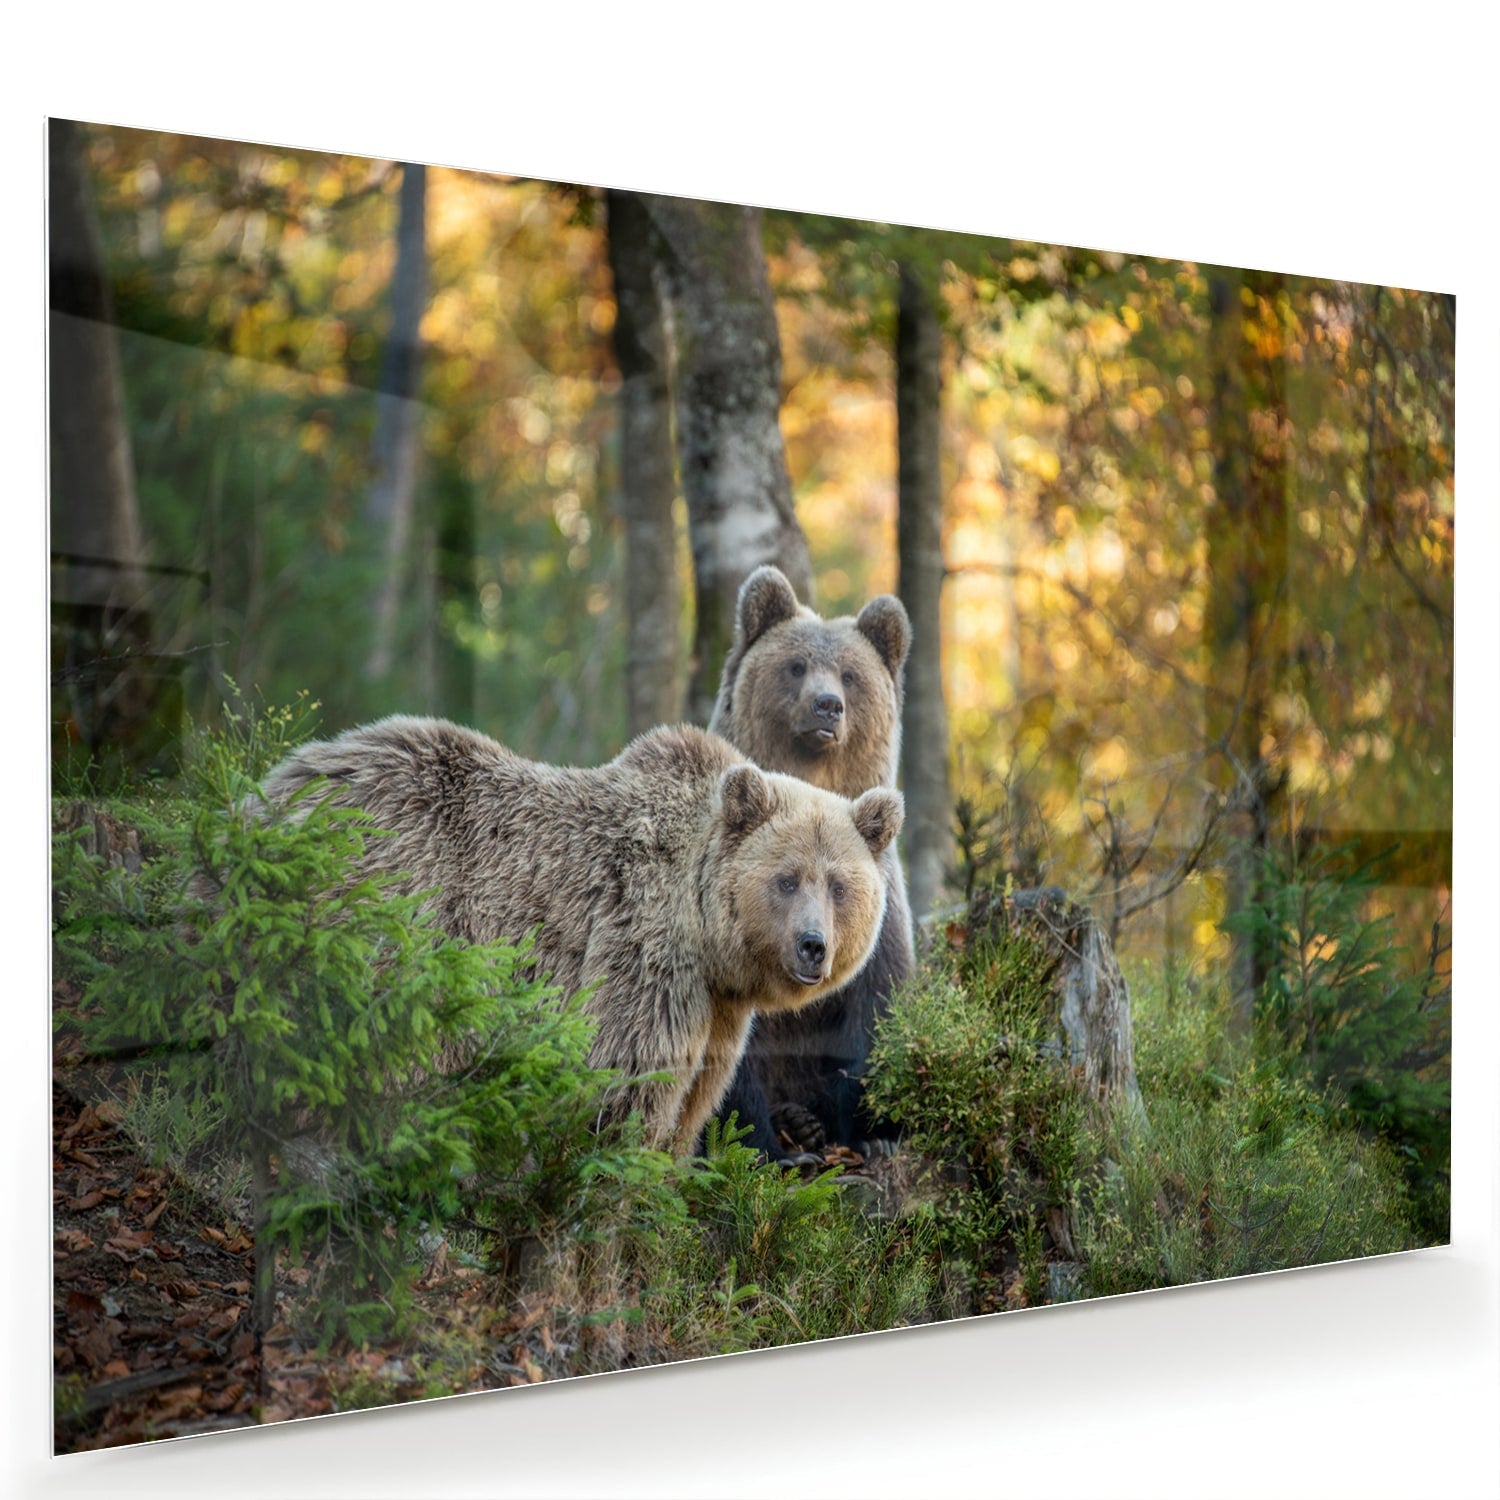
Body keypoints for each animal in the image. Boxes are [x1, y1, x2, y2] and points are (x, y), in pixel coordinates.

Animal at [261, 716, 903, 1155]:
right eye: (786, 879)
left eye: (839, 886)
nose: (813, 945)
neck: (707, 934)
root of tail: (276, 789)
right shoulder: (642, 944)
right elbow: (628, 1077)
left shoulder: (718, 1006)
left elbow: (698, 1092)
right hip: (392, 908)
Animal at [707, 565, 915, 1160]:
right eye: (796, 665)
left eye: (849, 674)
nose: (827, 705)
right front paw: (764, 1147)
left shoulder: (879, 908)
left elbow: (876, 1007)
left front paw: (876, 1134)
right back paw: (795, 1125)